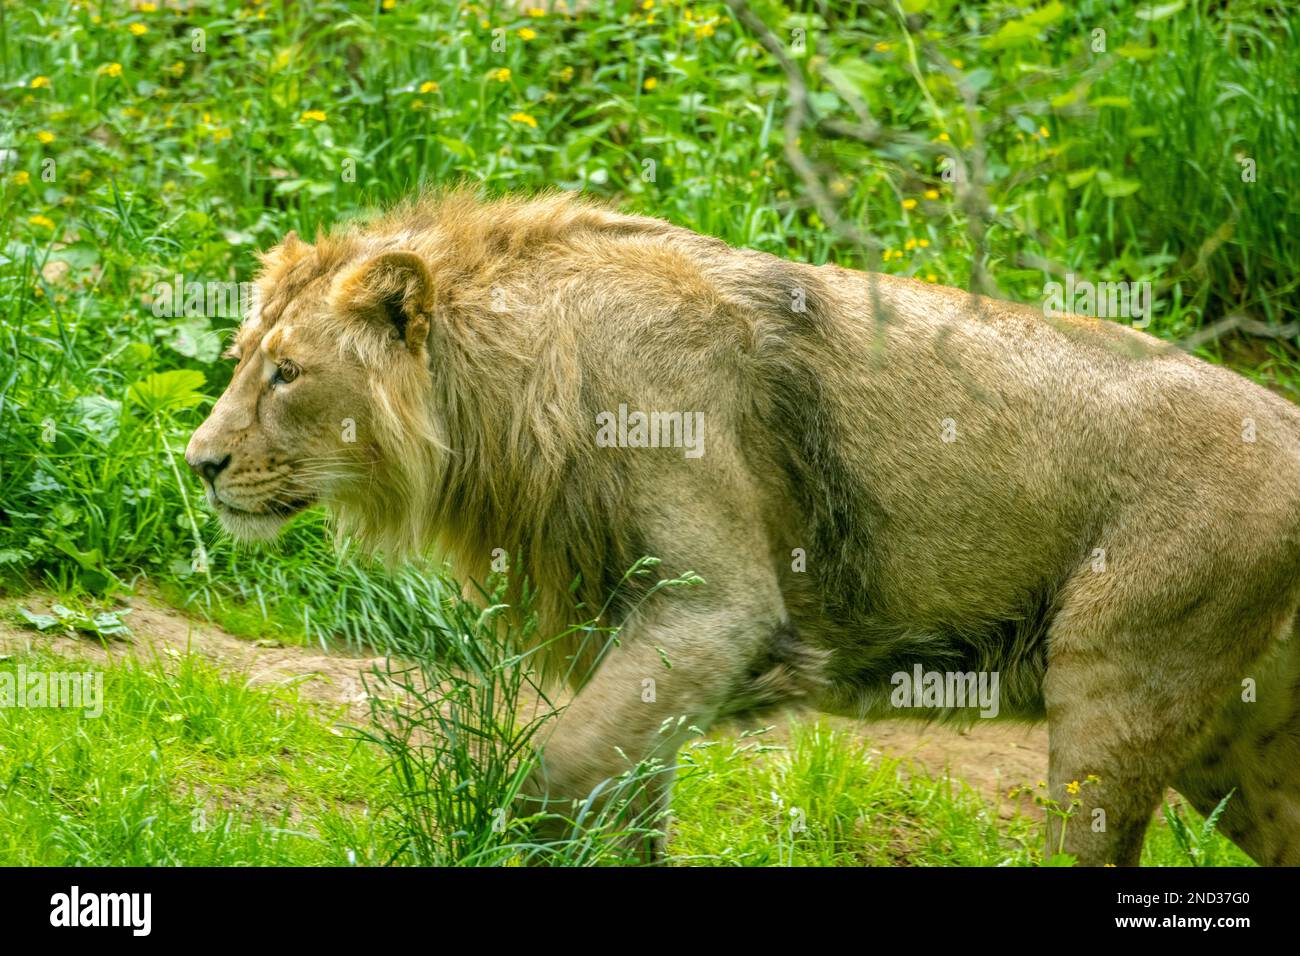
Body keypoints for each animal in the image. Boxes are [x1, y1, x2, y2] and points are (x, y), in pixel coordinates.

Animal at [185, 188, 1300, 868]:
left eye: (286, 374)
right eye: (244, 357)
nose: (199, 463)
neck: (501, 392)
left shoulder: (715, 608)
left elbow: (559, 768)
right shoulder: (643, 633)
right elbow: (623, 795)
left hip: (1121, 680)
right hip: (1239, 746)